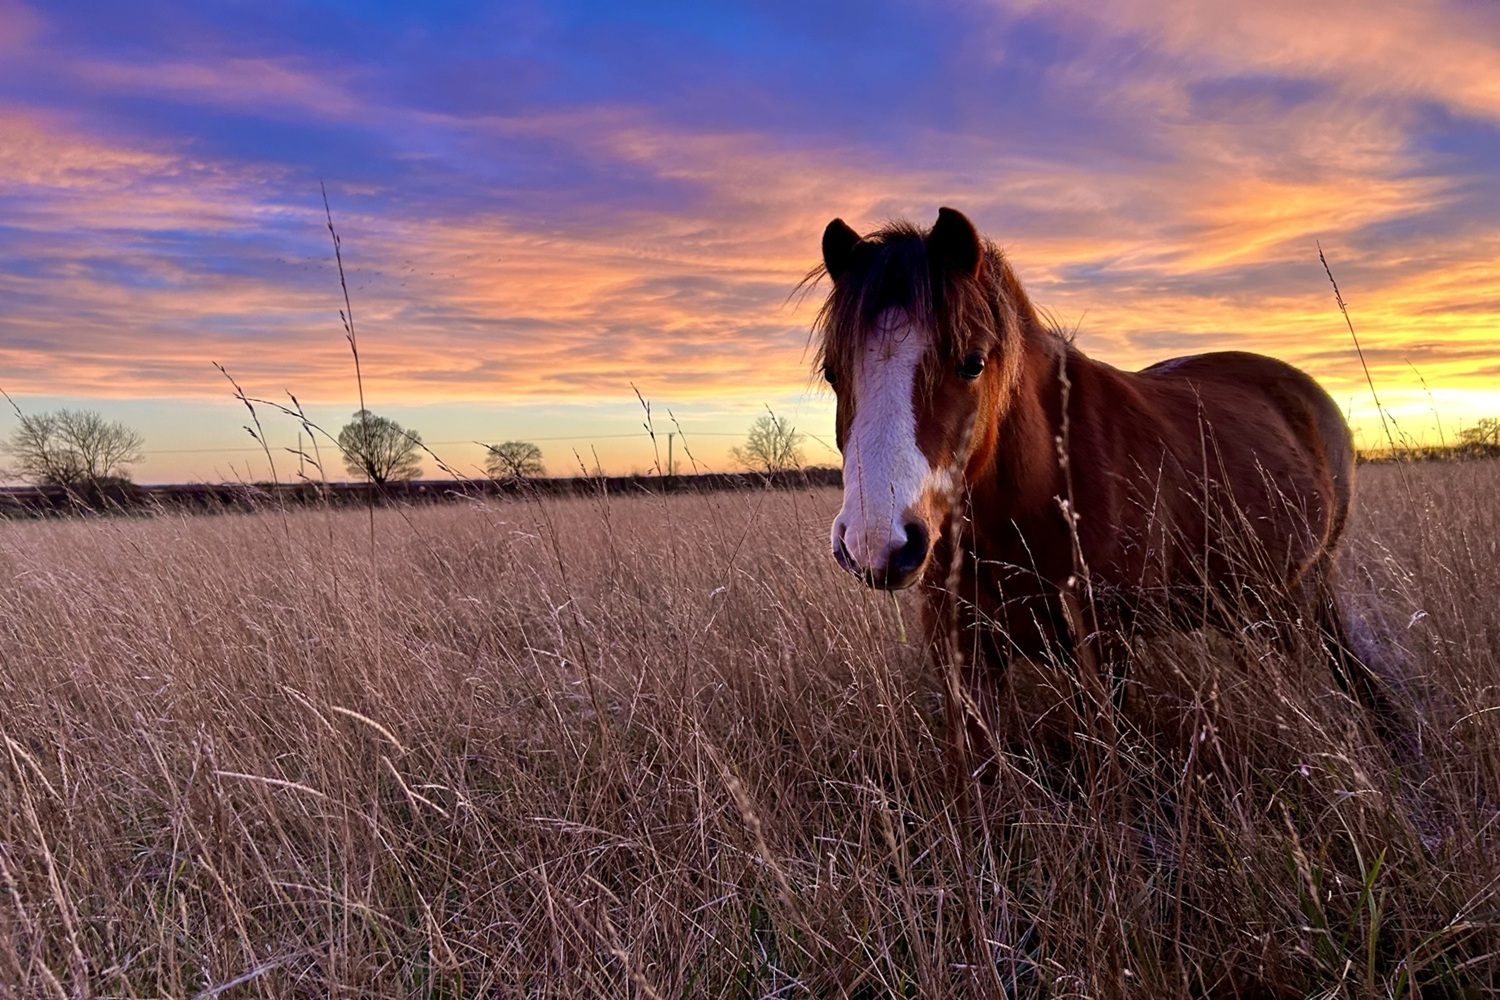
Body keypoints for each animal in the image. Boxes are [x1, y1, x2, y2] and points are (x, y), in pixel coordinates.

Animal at [812, 206, 1392, 755]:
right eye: (833, 373)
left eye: (972, 363)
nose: (876, 543)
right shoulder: (962, 652)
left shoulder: (1103, 642)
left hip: (1299, 592)